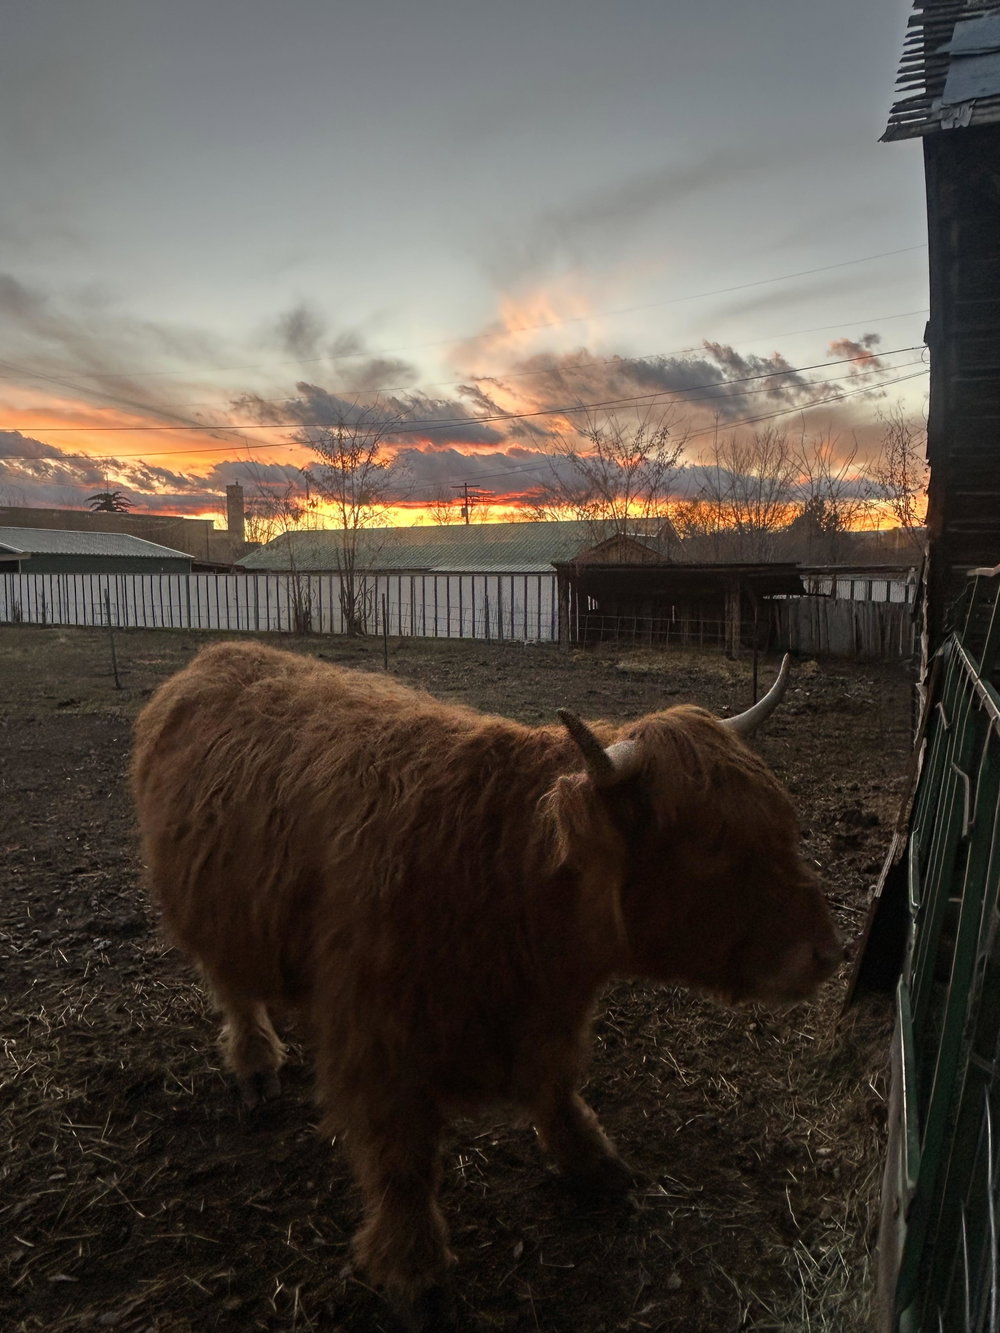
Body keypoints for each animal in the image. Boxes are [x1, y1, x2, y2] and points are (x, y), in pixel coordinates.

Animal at [132, 640, 842, 1321]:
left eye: (781, 822)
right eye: (714, 847)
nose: (826, 953)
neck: (502, 867)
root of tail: (213, 659)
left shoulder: (549, 1013)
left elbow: (555, 1086)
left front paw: (594, 1161)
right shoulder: (379, 1043)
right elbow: (402, 1163)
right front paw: (415, 1272)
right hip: (215, 918)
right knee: (234, 990)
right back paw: (255, 1064)